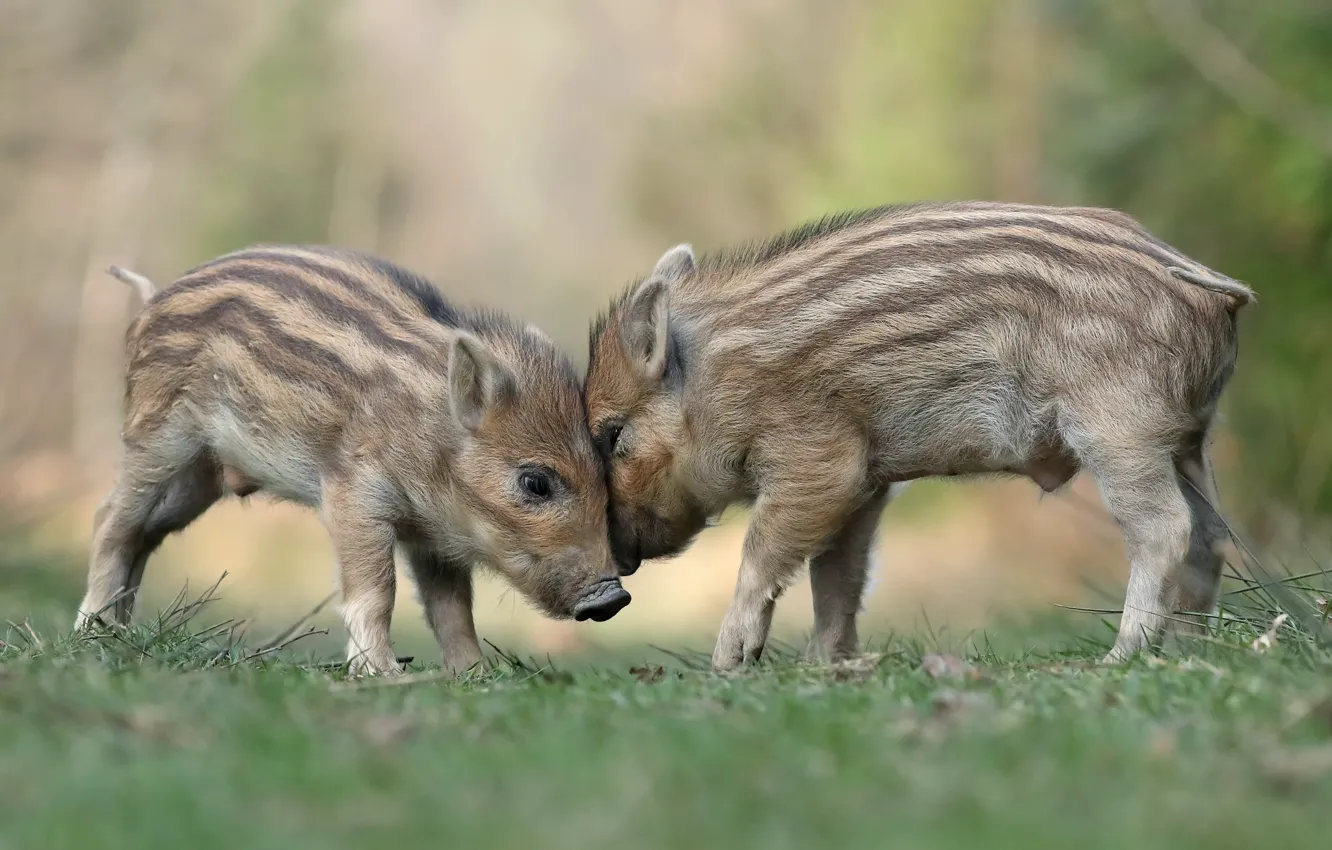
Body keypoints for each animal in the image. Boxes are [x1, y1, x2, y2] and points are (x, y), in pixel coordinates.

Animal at [77, 245, 629, 675]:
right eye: (535, 483)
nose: (614, 598)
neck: (432, 438)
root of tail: (152, 298)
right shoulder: (354, 496)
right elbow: (377, 588)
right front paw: (381, 673)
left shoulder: (434, 538)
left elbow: (452, 608)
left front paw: (474, 674)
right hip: (158, 437)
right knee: (113, 520)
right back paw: (91, 630)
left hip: (199, 479)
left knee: (146, 532)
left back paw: (120, 629)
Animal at [583, 201, 1253, 671]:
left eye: (612, 434)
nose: (618, 559)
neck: (713, 380)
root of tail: (1208, 289)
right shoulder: (866, 486)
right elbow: (838, 576)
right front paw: (827, 665)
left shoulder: (819, 465)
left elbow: (764, 553)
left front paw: (728, 663)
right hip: (1188, 438)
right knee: (1213, 534)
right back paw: (1192, 650)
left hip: (1119, 431)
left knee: (1166, 528)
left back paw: (1119, 656)